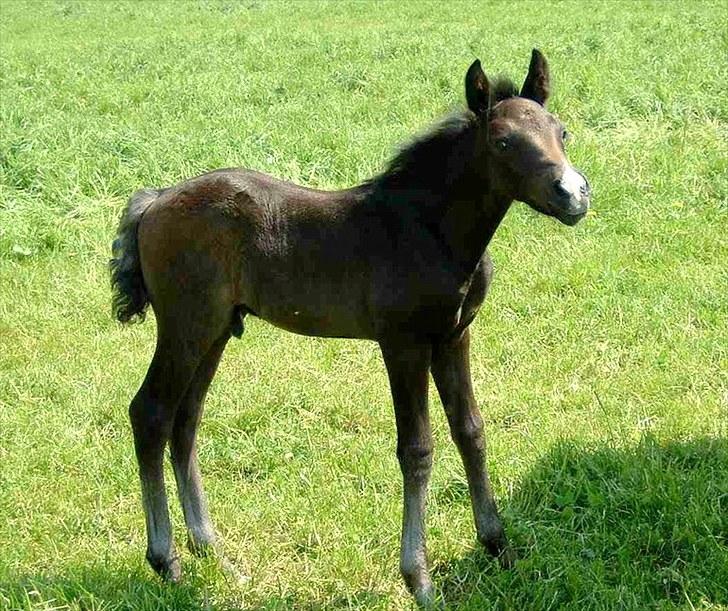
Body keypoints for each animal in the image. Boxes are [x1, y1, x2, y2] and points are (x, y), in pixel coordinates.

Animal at [110, 49, 590, 607]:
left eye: (561, 131)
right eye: (504, 141)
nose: (574, 195)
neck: (429, 230)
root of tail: (157, 199)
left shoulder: (455, 336)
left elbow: (470, 430)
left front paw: (498, 546)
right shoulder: (403, 344)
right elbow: (417, 449)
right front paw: (419, 579)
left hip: (215, 331)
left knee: (185, 423)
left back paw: (215, 554)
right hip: (185, 325)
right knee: (150, 413)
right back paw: (167, 562)